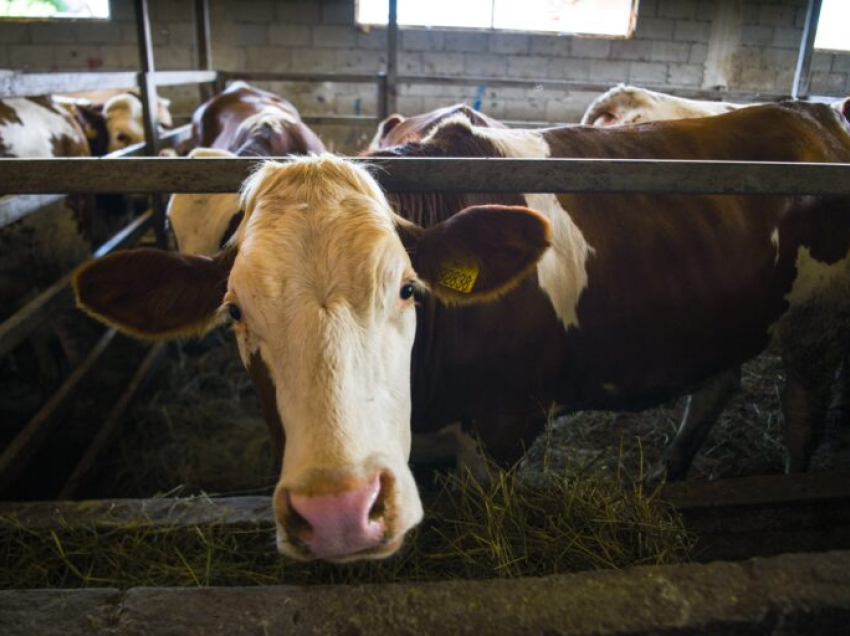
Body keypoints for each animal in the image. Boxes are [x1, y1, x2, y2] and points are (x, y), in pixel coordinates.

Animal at [73, 103, 848, 560]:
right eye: (235, 310)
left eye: (408, 288)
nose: (337, 513)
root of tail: (806, 111)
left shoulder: (504, 429)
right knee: (716, 384)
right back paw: (669, 473)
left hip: (817, 319)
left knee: (802, 410)